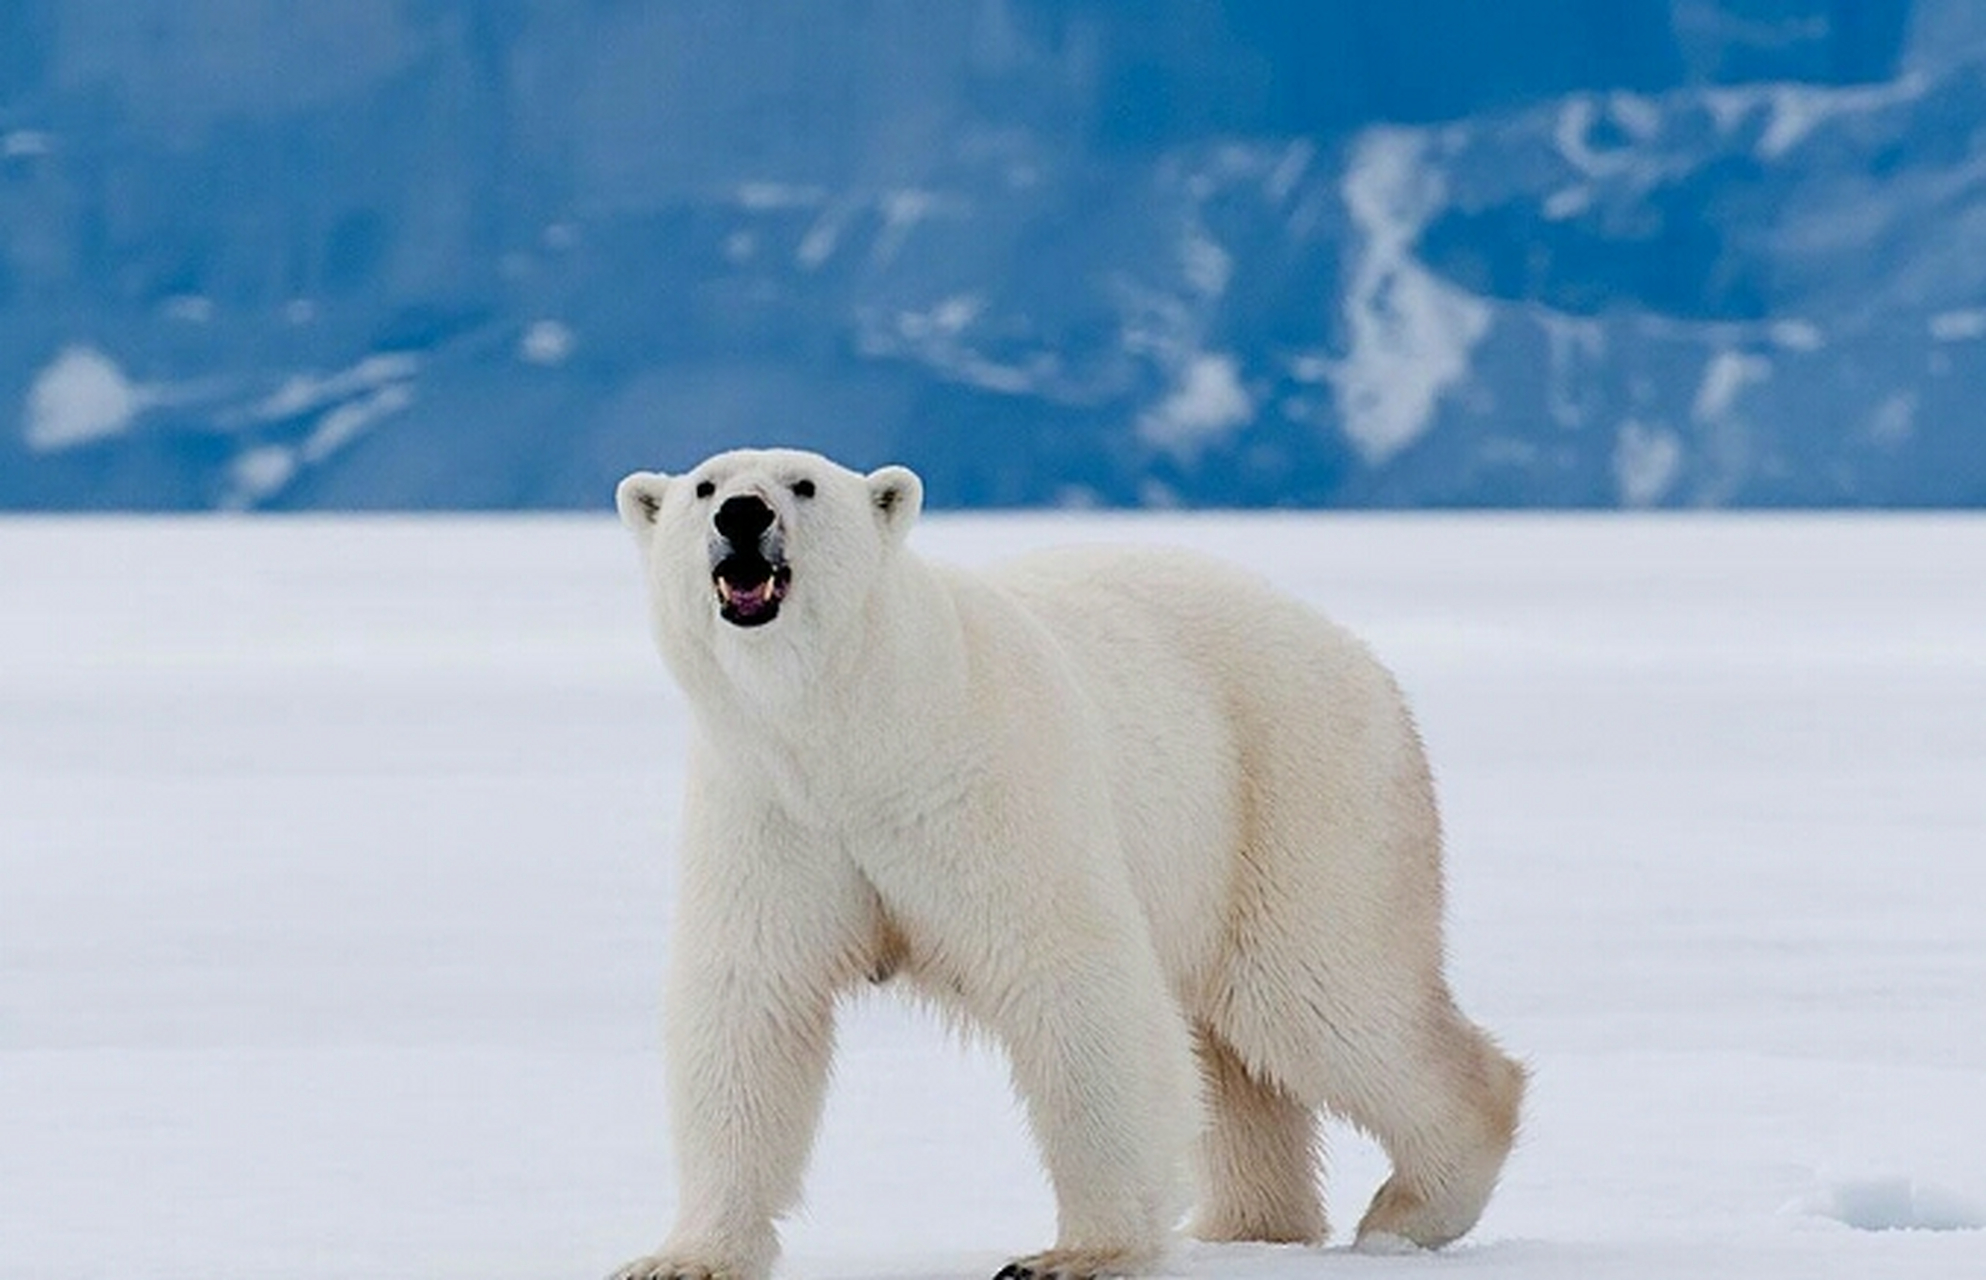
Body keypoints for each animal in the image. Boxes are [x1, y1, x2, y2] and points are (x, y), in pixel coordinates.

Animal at [609, 447, 1524, 1280]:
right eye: (705, 486)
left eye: (801, 484)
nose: (744, 517)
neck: (857, 731)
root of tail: (1346, 644)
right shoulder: (772, 811)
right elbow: (750, 1002)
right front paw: (684, 1258)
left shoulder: (984, 785)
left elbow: (1071, 982)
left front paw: (1079, 1252)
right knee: (1235, 1055)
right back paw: (1246, 1225)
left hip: (1292, 789)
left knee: (1324, 997)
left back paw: (1409, 1210)